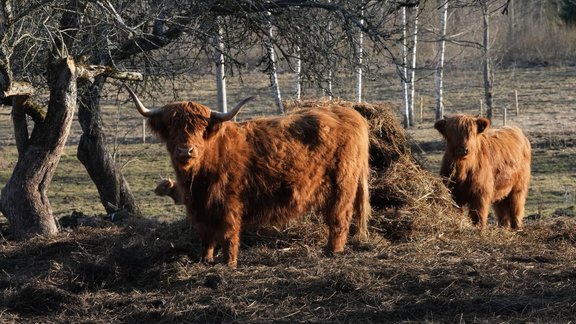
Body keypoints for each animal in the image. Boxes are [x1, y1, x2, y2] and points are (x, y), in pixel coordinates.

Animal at [125, 85, 368, 268]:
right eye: (170, 127)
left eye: (201, 128)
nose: (186, 151)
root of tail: (351, 114)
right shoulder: (200, 207)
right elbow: (206, 236)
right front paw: (205, 260)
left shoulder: (229, 203)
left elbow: (228, 234)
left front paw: (229, 263)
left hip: (342, 185)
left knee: (340, 218)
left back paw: (332, 251)